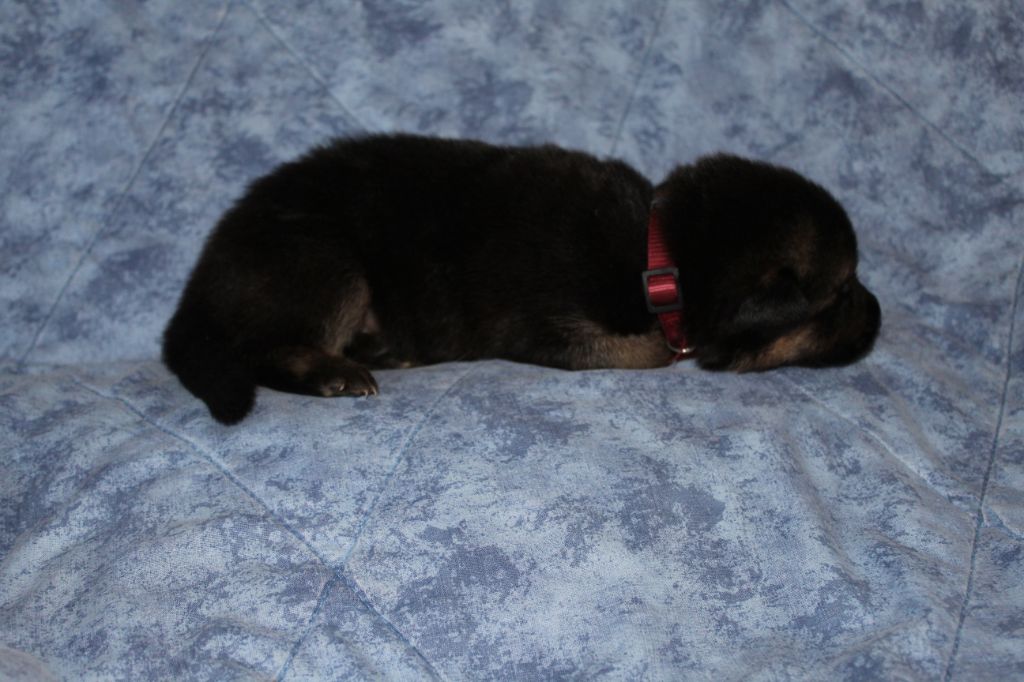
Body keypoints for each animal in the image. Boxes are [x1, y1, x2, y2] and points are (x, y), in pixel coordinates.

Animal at [163, 134, 881, 424]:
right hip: (324, 256)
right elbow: (650, 350)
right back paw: (331, 372)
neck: (661, 250)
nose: (880, 317)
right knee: (257, 347)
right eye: (841, 294)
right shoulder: (548, 327)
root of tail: (197, 287)